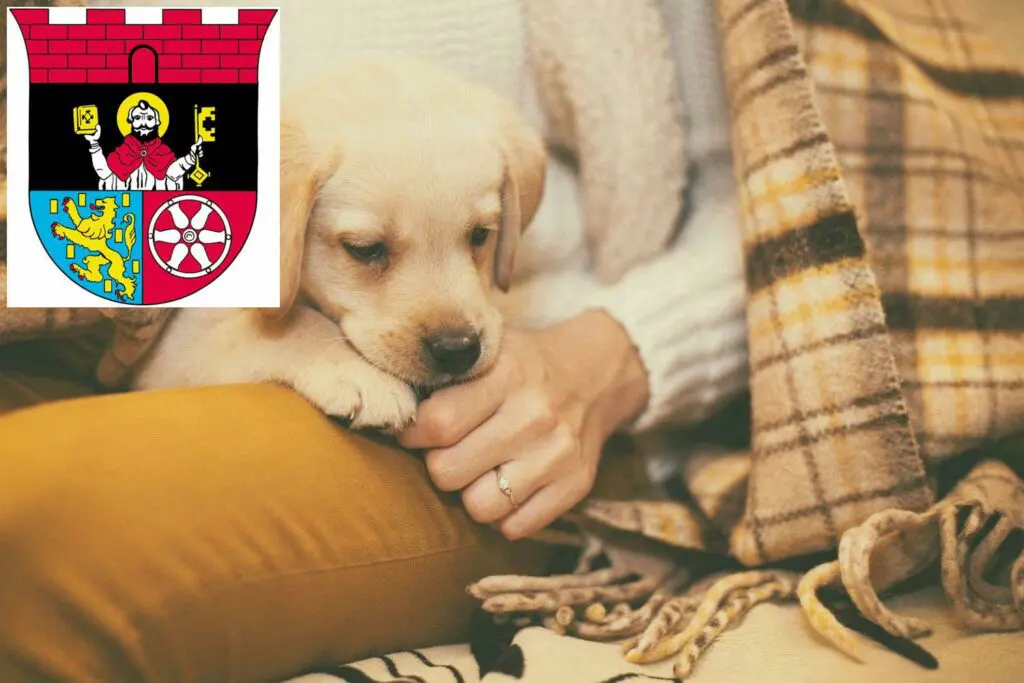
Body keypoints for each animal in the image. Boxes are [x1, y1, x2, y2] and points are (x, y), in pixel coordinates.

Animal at [132, 58, 548, 432]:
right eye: (365, 249)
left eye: (480, 235)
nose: (458, 350)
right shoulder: (169, 351)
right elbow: (282, 325)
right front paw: (362, 375)